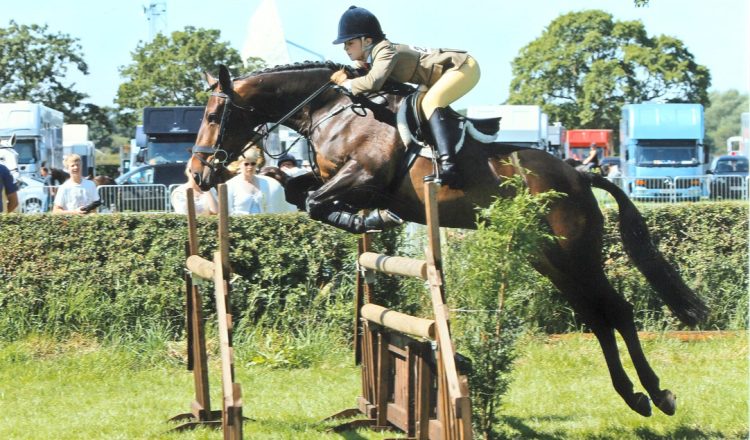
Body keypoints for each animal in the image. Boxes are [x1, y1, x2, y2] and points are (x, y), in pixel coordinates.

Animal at [188, 62, 708, 417]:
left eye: (215, 113)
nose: (196, 175)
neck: (330, 112)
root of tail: (581, 176)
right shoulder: (331, 177)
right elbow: (300, 192)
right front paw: (366, 219)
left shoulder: (364, 175)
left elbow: (315, 200)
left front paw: (370, 219)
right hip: (550, 261)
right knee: (597, 317)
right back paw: (635, 396)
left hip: (576, 255)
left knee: (616, 311)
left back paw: (657, 393)